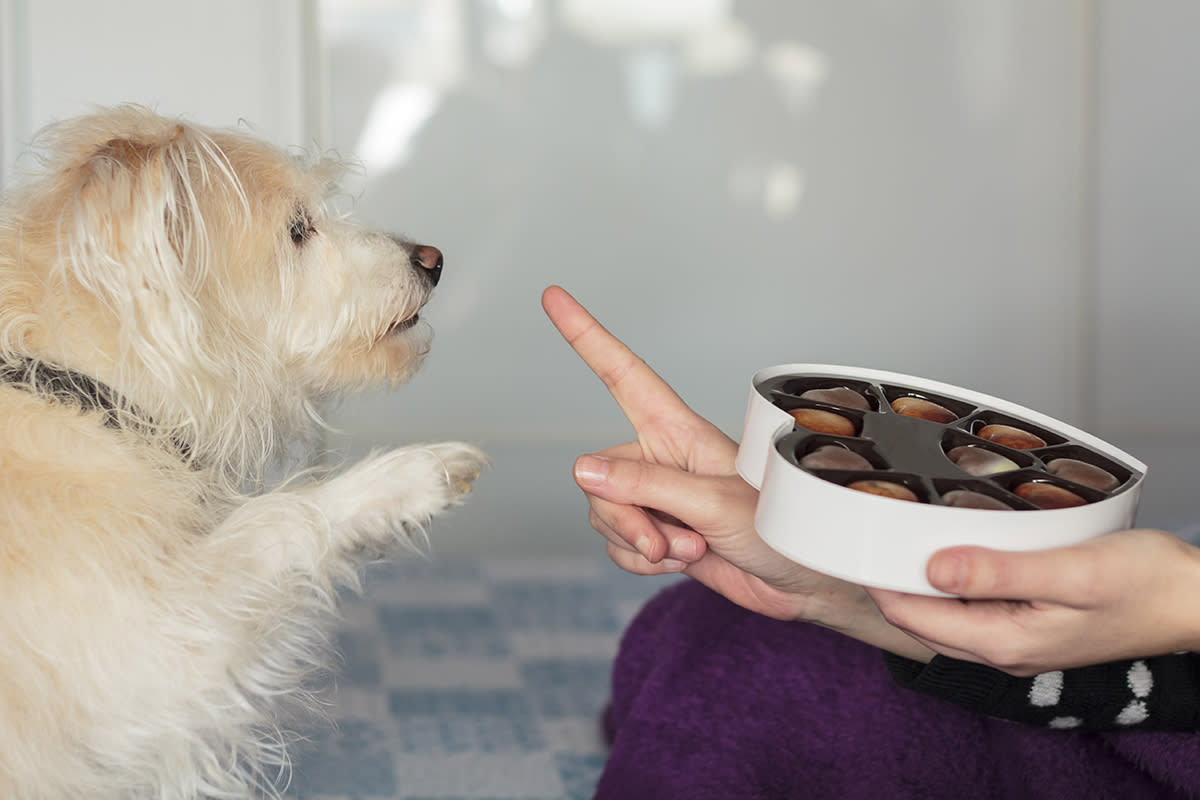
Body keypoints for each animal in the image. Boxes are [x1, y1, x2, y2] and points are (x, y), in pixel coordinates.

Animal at [1, 107, 487, 800]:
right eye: (298, 229)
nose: (434, 259)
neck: (85, 391)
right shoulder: (150, 652)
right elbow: (274, 520)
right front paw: (406, 479)